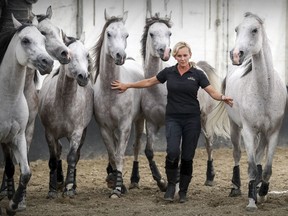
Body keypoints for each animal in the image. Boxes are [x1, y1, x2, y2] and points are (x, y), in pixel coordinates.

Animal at [0, 15, 53, 214]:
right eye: (25, 40)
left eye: (44, 39)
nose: (48, 62)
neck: (7, 97)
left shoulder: (18, 137)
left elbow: (25, 173)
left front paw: (13, 206)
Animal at [38, 34, 93, 198]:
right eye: (69, 55)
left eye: (87, 55)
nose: (83, 77)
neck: (64, 103)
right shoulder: (49, 133)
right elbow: (53, 159)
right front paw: (52, 190)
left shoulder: (77, 133)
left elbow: (72, 157)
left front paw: (69, 188)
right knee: (58, 151)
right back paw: (59, 181)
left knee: (75, 155)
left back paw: (72, 185)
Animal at [91, 11, 145, 198]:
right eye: (108, 33)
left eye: (126, 35)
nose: (120, 56)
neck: (111, 90)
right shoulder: (105, 128)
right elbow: (113, 155)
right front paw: (116, 183)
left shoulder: (124, 126)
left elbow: (120, 155)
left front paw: (117, 189)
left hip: (139, 121)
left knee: (136, 146)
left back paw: (134, 180)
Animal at [223, 12, 286, 211]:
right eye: (236, 29)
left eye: (255, 30)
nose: (236, 55)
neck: (264, 91)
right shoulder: (249, 132)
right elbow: (250, 167)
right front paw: (251, 201)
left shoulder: (273, 133)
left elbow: (267, 169)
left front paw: (262, 193)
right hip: (235, 127)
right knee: (236, 154)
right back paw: (235, 188)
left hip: (263, 134)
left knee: (259, 156)